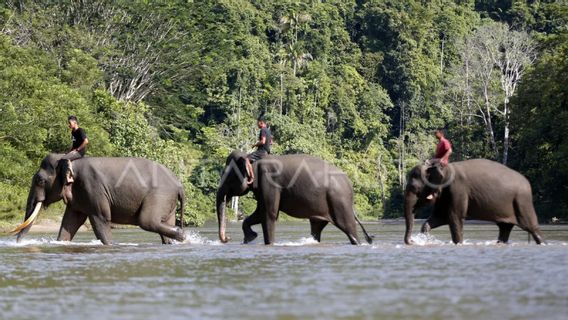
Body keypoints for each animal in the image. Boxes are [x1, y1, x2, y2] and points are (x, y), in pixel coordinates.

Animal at [12, 154, 184, 244]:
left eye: (40, 180)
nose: (17, 242)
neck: (69, 160)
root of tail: (179, 184)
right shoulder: (79, 196)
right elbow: (70, 221)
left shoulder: (93, 187)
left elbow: (101, 219)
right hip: (168, 201)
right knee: (162, 222)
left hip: (160, 195)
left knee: (147, 221)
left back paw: (182, 235)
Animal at [214, 151, 372, 245]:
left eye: (228, 178)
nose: (227, 238)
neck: (252, 159)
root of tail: (350, 185)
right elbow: (259, 213)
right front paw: (250, 238)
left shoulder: (269, 183)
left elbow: (269, 215)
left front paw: (268, 243)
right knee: (316, 227)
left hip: (339, 201)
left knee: (349, 228)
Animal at [402, 158, 544, 245]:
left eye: (414, 188)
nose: (412, 241)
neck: (443, 167)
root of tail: (528, 183)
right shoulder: (445, 195)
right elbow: (439, 217)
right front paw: (425, 235)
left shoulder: (458, 189)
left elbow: (454, 218)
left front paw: (459, 243)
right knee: (504, 228)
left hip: (522, 201)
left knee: (531, 227)